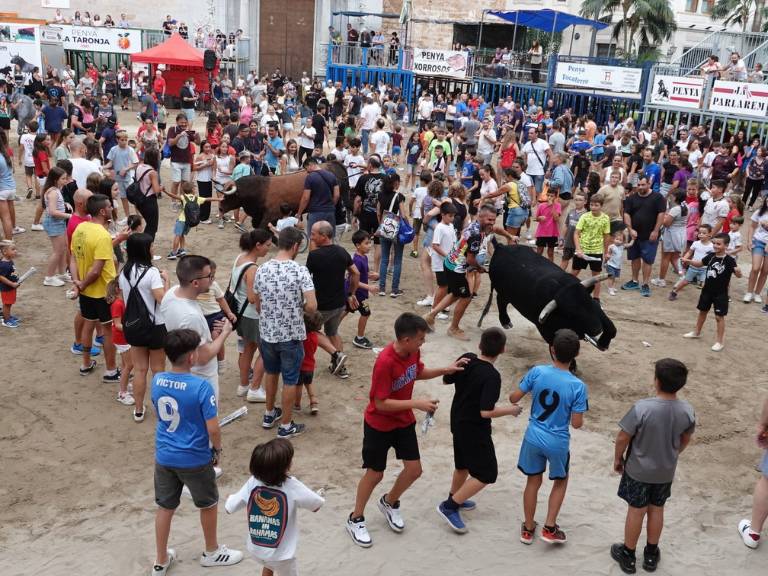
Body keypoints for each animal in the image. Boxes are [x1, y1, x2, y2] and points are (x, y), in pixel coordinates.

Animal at [480, 244, 616, 352]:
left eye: (588, 301)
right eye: (571, 313)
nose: (597, 329)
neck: (559, 287)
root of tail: (501, 247)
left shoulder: (595, 309)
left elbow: (611, 327)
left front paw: (603, 342)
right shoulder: (545, 330)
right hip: (503, 291)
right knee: (500, 301)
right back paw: (505, 321)